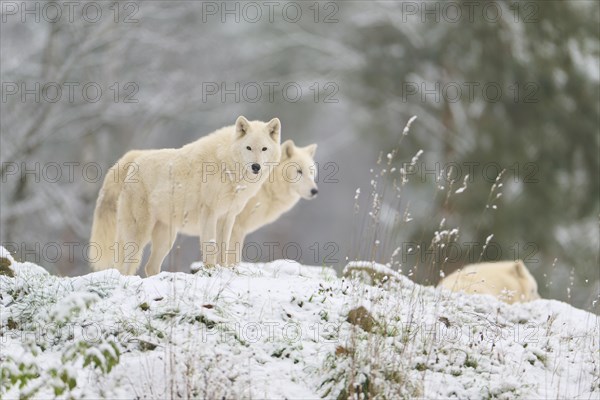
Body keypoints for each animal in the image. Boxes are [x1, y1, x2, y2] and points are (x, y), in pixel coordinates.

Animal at [89, 115, 282, 276]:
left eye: (264, 149)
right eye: (249, 147)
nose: (256, 167)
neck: (228, 166)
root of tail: (135, 158)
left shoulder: (227, 217)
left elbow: (224, 249)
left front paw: (224, 270)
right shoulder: (209, 213)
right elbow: (210, 247)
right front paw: (211, 271)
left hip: (166, 238)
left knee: (149, 267)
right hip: (139, 234)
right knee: (124, 268)